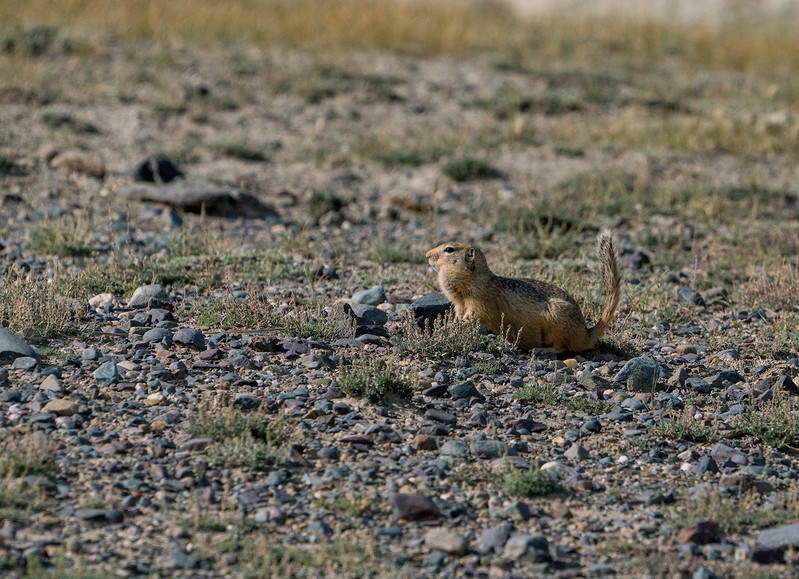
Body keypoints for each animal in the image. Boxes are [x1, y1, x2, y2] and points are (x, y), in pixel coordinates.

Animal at [428, 232, 620, 354]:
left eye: (449, 249)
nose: (427, 255)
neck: (474, 279)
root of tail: (586, 334)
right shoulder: (459, 304)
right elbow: (460, 314)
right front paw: (453, 325)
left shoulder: (480, 301)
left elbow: (477, 314)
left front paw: (455, 327)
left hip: (559, 320)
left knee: (563, 347)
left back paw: (542, 350)